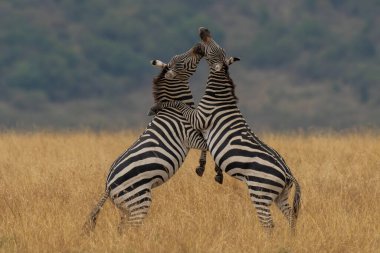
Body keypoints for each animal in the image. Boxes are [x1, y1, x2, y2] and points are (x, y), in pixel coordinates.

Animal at [83, 43, 220, 233]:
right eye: (182, 61)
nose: (198, 46)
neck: (175, 108)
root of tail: (108, 186)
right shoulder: (189, 135)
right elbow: (207, 145)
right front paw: (206, 167)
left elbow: (207, 145)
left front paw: (203, 166)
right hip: (139, 200)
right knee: (128, 229)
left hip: (126, 207)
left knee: (121, 229)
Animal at [150, 27, 302, 233]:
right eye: (218, 46)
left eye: (211, 50)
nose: (203, 31)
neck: (219, 97)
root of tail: (287, 173)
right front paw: (210, 169)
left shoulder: (199, 118)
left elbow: (179, 105)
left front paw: (159, 106)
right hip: (281, 196)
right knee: (291, 217)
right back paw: (291, 238)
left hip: (260, 192)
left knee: (269, 223)